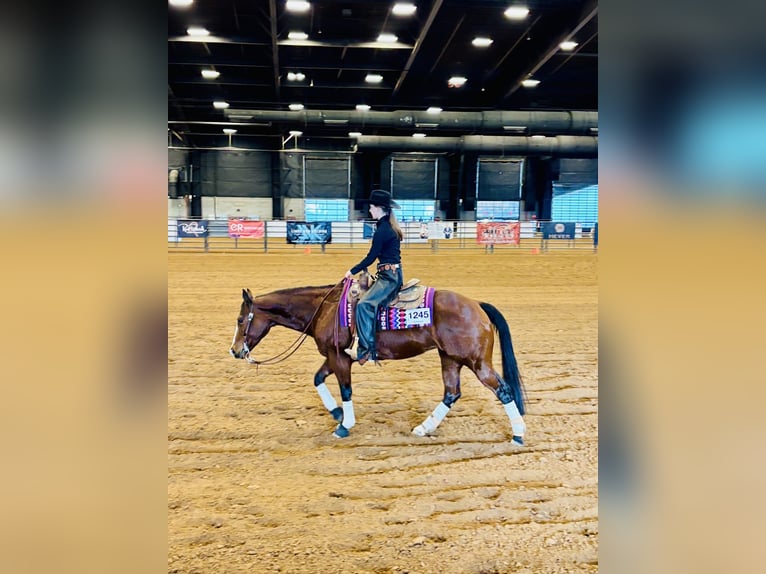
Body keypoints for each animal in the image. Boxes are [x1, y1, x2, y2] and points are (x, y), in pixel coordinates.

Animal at [229, 280, 528, 445]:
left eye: (241, 320)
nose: (234, 351)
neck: (325, 308)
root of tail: (476, 305)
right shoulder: (334, 356)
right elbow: (317, 379)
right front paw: (337, 414)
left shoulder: (340, 358)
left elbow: (346, 390)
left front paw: (344, 425)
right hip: (450, 359)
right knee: (451, 393)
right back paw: (423, 428)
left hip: (477, 362)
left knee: (502, 390)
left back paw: (518, 435)